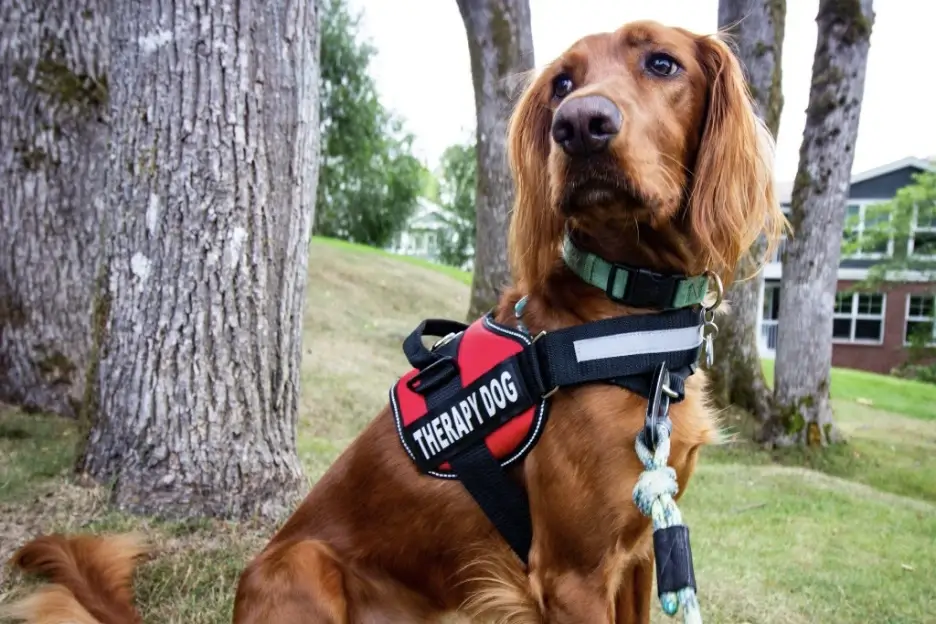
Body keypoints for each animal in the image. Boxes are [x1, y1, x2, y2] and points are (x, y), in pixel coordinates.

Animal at [3, 19, 788, 624]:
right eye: (562, 84)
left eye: (662, 63)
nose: (579, 127)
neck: (625, 313)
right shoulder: (573, 572)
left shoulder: (640, 553)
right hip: (302, 566)